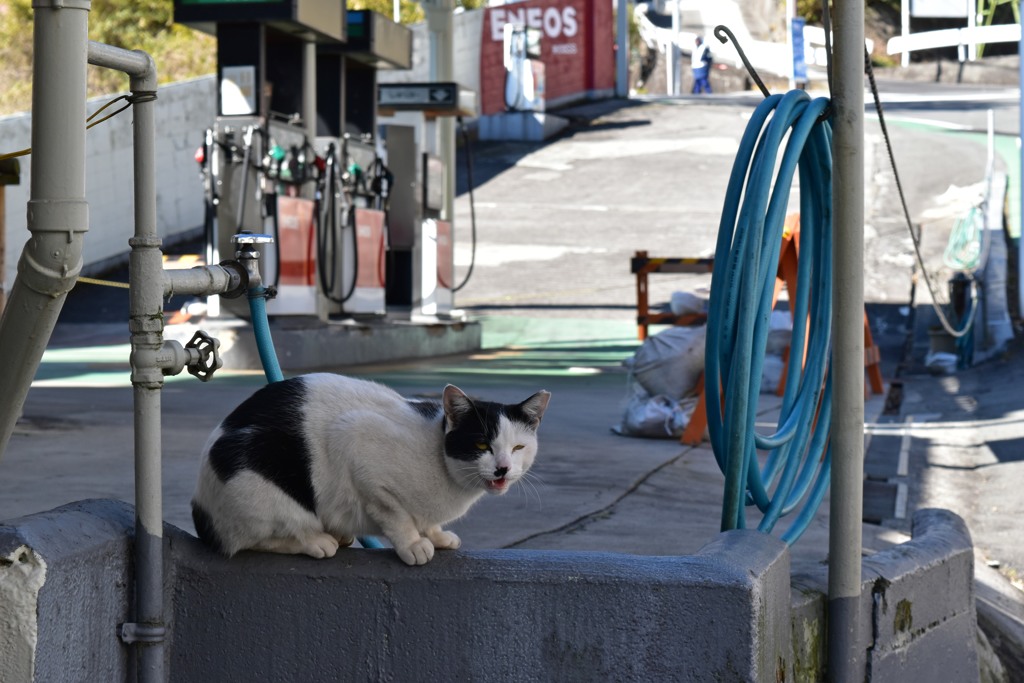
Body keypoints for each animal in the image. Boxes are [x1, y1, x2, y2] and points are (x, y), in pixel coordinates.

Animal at [188, 374, 548, 565]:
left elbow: (427, 521)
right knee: (252, 539)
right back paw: (316, 540)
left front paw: (436, 535)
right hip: (254, 482)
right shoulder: (355, 440)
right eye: (481, 445)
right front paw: (413, 544)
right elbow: (395, 514)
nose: (502, 469)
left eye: (518, 448)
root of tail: (200, 506)